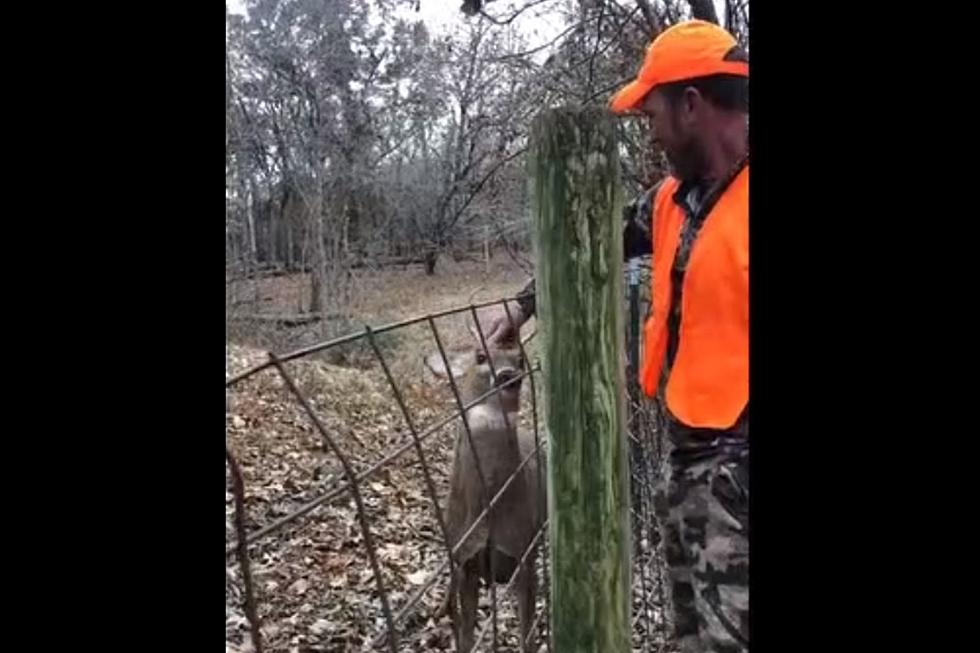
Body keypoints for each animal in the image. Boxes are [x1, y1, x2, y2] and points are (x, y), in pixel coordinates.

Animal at [424, 344, 548, 648]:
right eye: (480, 356)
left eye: (520, 360)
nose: (507, 376)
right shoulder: (469, 561)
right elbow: (465, 639)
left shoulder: (523, 557)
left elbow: (527, 636)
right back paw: (441, 608)